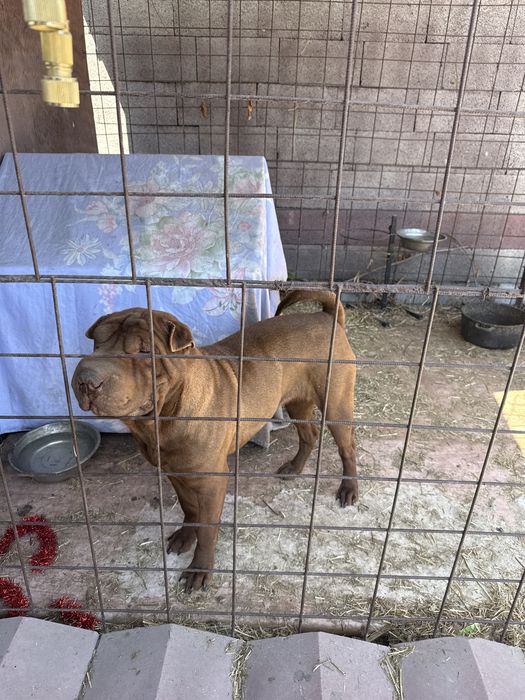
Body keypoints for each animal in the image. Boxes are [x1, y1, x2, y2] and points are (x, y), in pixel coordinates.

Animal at [72, 290, 358, 591]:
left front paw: (200, 568)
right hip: (298, 402)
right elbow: (189, 508)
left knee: (347, 447)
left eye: (143, 351)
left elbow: (208, 529)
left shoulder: (211, 481)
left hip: (336, 404)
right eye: (97, 343)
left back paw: (349, 489)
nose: (86, 379)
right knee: (309, 435)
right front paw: (186, 536)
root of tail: (326, 317)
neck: (162, 421)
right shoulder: (175, 472)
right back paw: (294, 468)